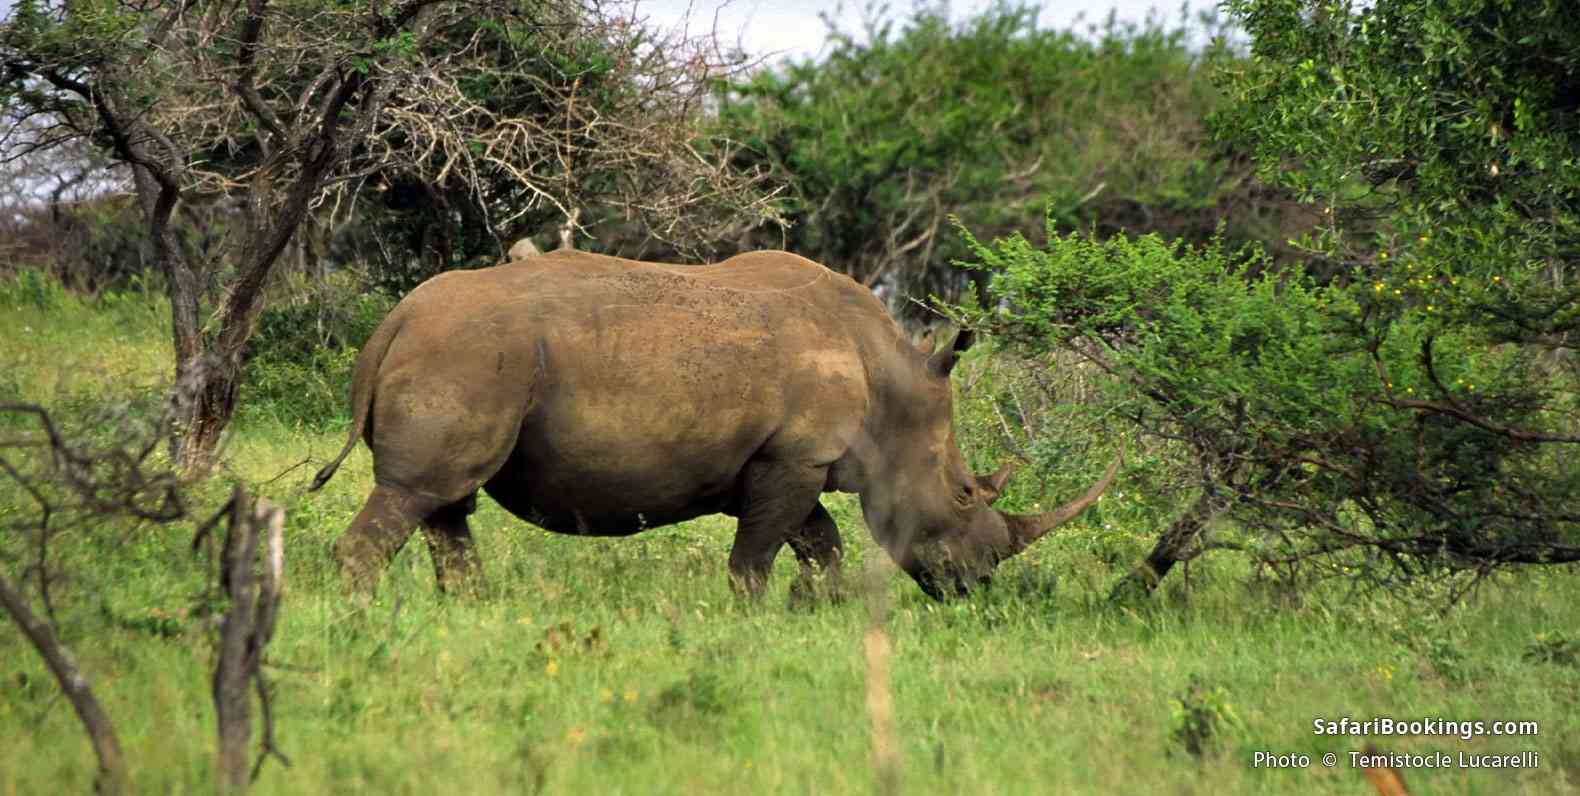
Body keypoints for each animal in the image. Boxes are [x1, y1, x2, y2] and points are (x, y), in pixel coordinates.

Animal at [310, 250, 1120, 599]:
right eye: (962, 493)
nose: (976, 586)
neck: (892, 382)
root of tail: (394, 322)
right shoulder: (796, 456)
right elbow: (757, 555)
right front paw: (753, 618)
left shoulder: (789, 457)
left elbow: (818, 543)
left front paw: (814, 610)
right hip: (468, 354)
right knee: (418, 494)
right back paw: (364, 621)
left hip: (465, 354)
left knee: (445, 501)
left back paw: (471, 615)